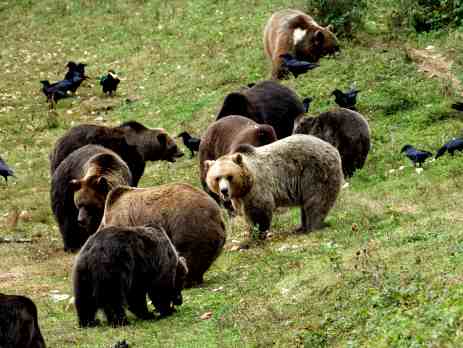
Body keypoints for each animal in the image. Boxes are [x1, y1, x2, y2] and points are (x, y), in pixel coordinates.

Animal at [205, 134, 342, 239]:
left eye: (229, 176)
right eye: (217, 178)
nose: (224, 190)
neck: (247, 182)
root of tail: (333, 149)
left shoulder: (258, 186)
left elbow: (260, 210)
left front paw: (257, 234)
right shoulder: (241, 197)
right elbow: (246, 213)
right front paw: (250, 231)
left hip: (315, 172)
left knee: (317, 200)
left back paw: (312, 226)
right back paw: (301, 227)